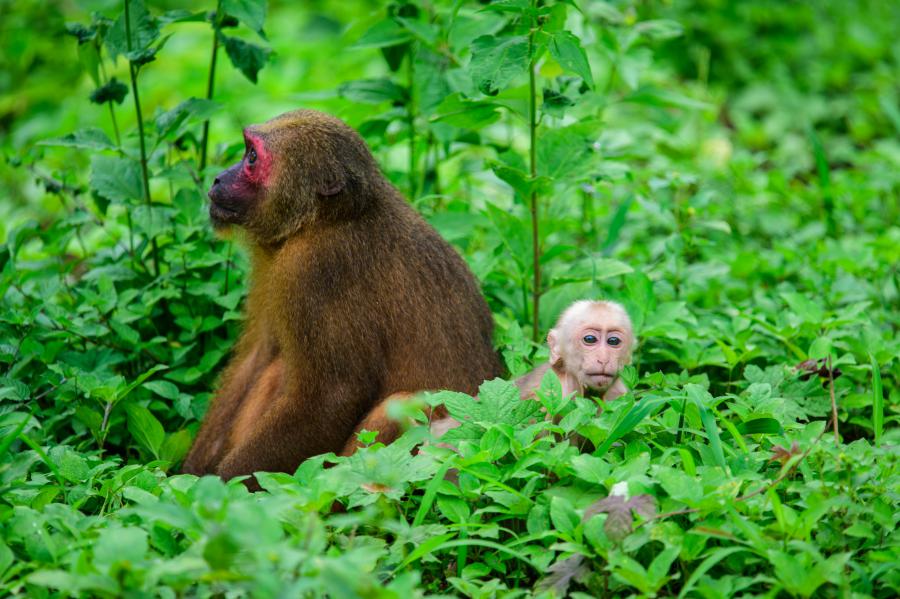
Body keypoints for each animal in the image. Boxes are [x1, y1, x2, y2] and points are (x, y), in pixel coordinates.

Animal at [181, 109, 502, 484]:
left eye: (251, 158)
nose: (219, 179)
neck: (322, 219)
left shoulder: (312, 268)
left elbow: (330, 400)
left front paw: (219, 490)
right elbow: (260, 356)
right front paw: (187, 478)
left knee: (399, 406)